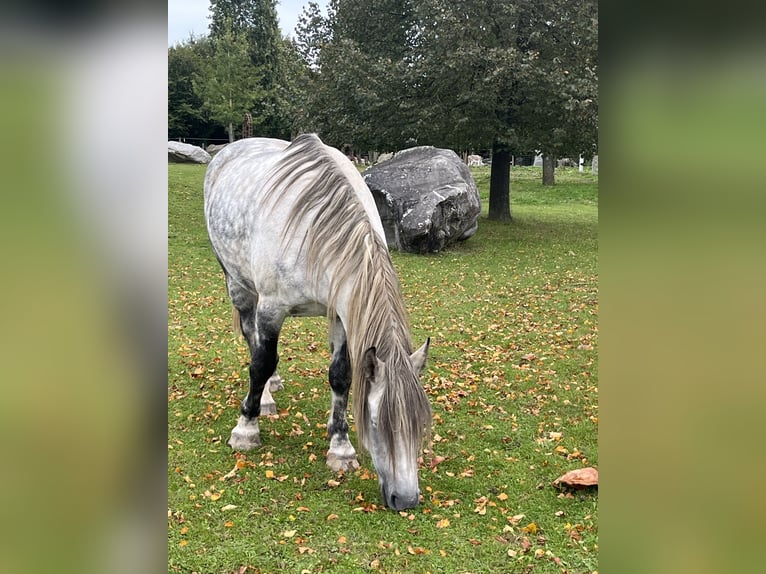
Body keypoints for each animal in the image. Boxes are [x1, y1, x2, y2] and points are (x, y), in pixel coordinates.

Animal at [204, 133, 432, 510]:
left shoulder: (341, 313)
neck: (315, 229)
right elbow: (260, 363)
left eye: (420, 423)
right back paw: (263, 401)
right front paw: (245, 430)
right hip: (239, 286)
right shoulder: (271, 307)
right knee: (254, 343)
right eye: (375, 422)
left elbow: (341, 375)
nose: (406, 499)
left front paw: (340, 448)